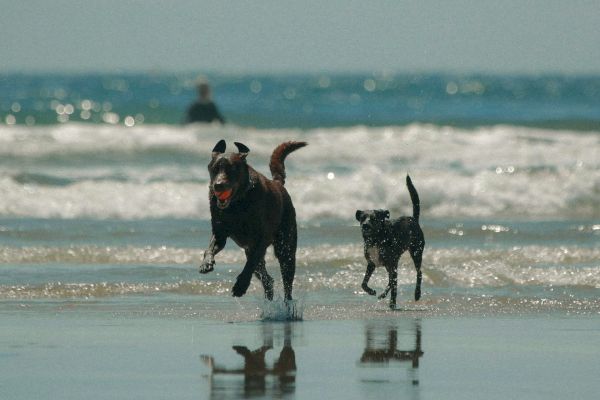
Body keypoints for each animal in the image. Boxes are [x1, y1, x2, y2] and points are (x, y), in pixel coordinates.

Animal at [199, 140, 308, 300]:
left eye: (232, 169)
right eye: (214, 168)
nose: (218, 185)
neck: (237, 204)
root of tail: (278, 183)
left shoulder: (261, 239)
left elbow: (250, 263)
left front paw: (241, 286)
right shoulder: (220, 233)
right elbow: (210, 248)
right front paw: (206, 263)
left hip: (285, 247)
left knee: (286, 282)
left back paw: (287, 304)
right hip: (252, 251)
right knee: (268, 279)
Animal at [356, 175, 426, 310]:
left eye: (374, 218)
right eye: (362, 218)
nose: (365, 225)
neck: (376, 239)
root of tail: (414, 219)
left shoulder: (392, 264)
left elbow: (394, 287)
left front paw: (392, 303)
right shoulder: (371, 264)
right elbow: (363, 283)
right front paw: (371, 291)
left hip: (416, 252)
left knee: (418, 273)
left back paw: (417, 294)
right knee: (390, 281)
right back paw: (383, 294)